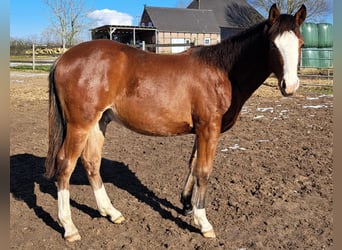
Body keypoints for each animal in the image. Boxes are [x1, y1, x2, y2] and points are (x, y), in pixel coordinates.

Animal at [44, 4, 304, 242]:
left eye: (300, 44)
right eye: (273, 45)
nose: (290, 86)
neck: (221, 71)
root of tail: (63, 58)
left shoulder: (201, 130)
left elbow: (193, 165)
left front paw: (187, 204)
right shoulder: (209, 128)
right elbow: (204, 170)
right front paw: (203, 222)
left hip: (99, 122)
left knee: (91, 162)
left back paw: (111, 212)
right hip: (80, 124)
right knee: (65, 164)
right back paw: (69, 227)